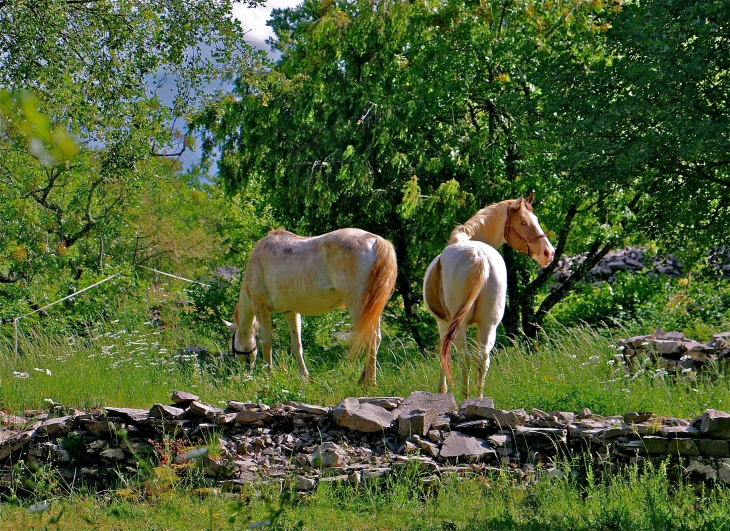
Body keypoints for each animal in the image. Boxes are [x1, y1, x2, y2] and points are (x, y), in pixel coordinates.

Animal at [225, 227, 396, 384]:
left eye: (233, 341)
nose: (241, 371)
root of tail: (375, 241)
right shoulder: (291, 313)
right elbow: (296, 346)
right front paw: (304, 378)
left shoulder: (262, 309)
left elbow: (267, 344)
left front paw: (269, 376)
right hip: (373, 308)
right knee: (377, 338)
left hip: (357, 304)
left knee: (370, 338)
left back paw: (369, 382)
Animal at [420, 195, 552, 400]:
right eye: (523, 222)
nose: (548, 253)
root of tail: (479, 256)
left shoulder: (443, 323)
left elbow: (444, 354)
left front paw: (442, 390)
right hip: (489, 324)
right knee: (482, 359)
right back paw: (478, 399)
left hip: (460, 324)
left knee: (465, 358)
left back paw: (464, 398)